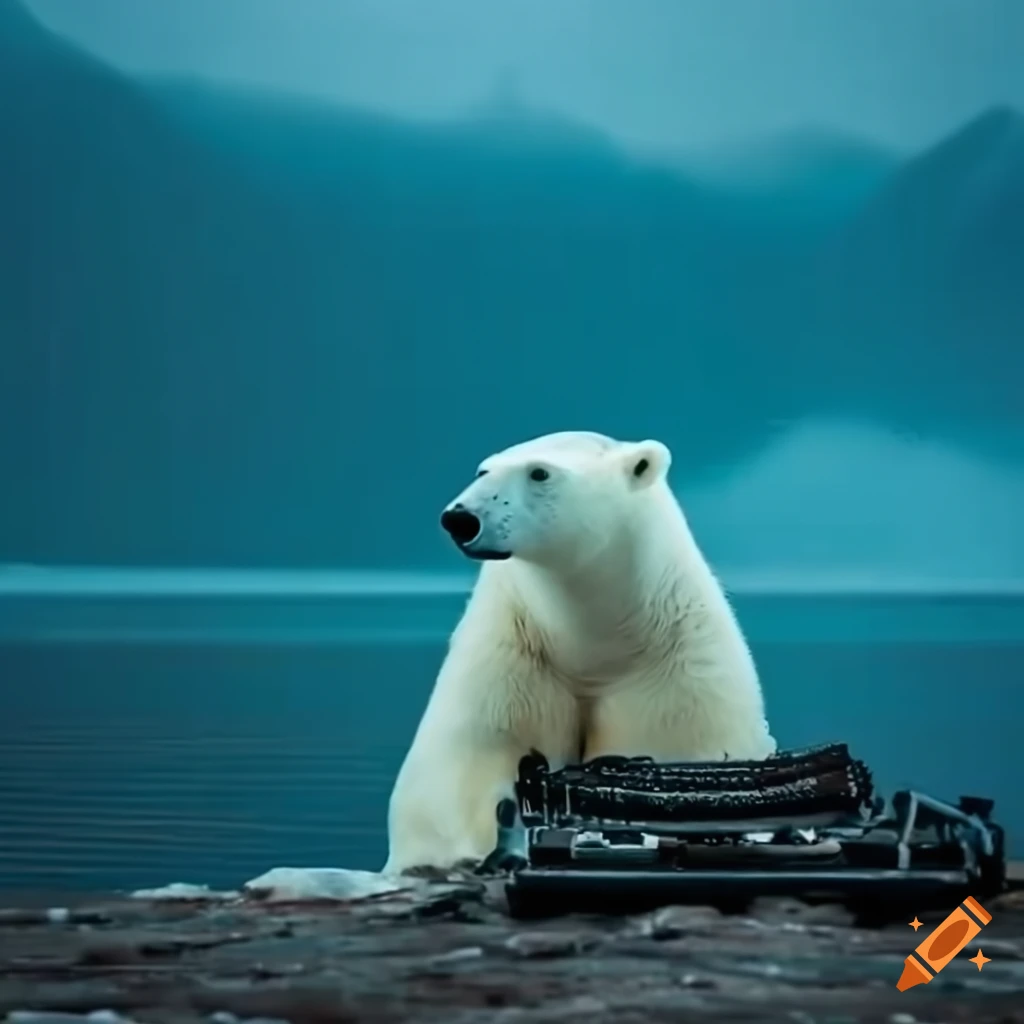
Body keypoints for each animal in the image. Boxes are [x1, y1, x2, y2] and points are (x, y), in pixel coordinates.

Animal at [383, 430, 776, 875]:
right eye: (483, 470)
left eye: (539, 472)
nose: (460, 518)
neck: (593, 642)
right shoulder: (510, 662)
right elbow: (470, 774)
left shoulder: (677, 686)